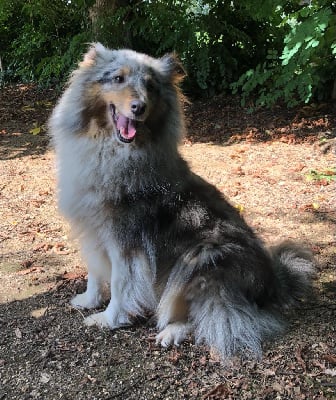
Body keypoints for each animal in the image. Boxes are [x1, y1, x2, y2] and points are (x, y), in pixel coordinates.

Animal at [50, 43, 316, 360]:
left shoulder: (126, 242)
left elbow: (120, 285)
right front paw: (88, 300)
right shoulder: (92, 231)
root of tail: (275, 284)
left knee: (222, 317)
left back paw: (172, 331)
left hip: (201, 257)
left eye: (151, 86)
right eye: (117, 78)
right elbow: (94, 272)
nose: (139, 107)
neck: (111, 150)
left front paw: (108, 319)